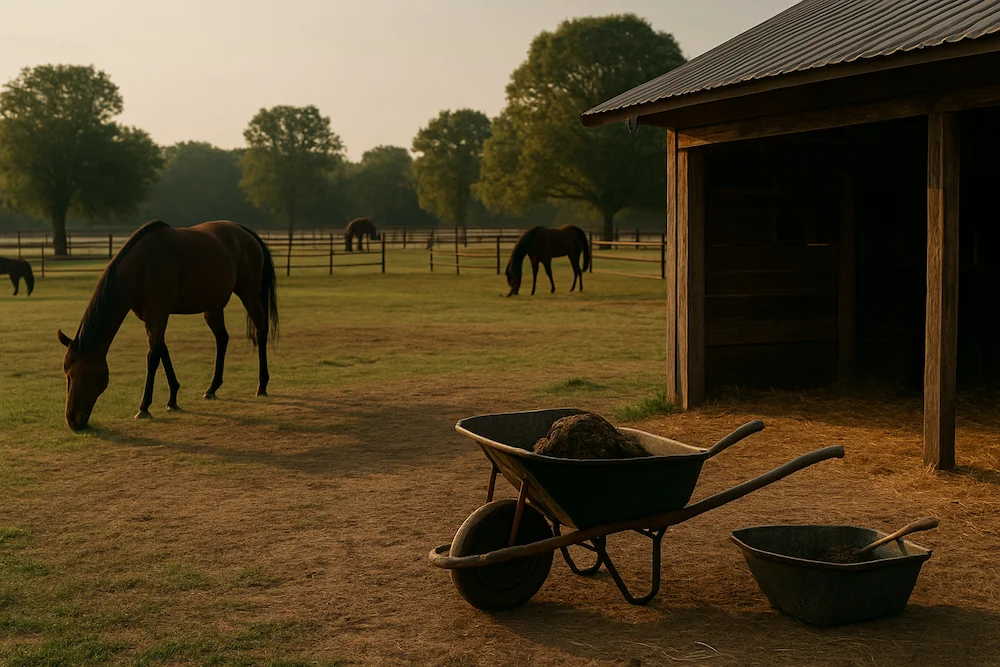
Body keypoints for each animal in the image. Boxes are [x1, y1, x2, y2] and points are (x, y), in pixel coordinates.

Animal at [58, 220, 278, 431]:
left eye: (77, 374)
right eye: (67, 374)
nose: (72, 420)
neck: (140, 266)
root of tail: (246, 233)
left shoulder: (159, 314)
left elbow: (153, 356)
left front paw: (144, 407)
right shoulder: (150, 319)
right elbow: (162, 349)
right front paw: (172, 399)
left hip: (249, 295)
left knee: (261, 332)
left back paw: (262, 385)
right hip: (213, 306)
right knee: (222, 338)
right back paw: (212, 388)